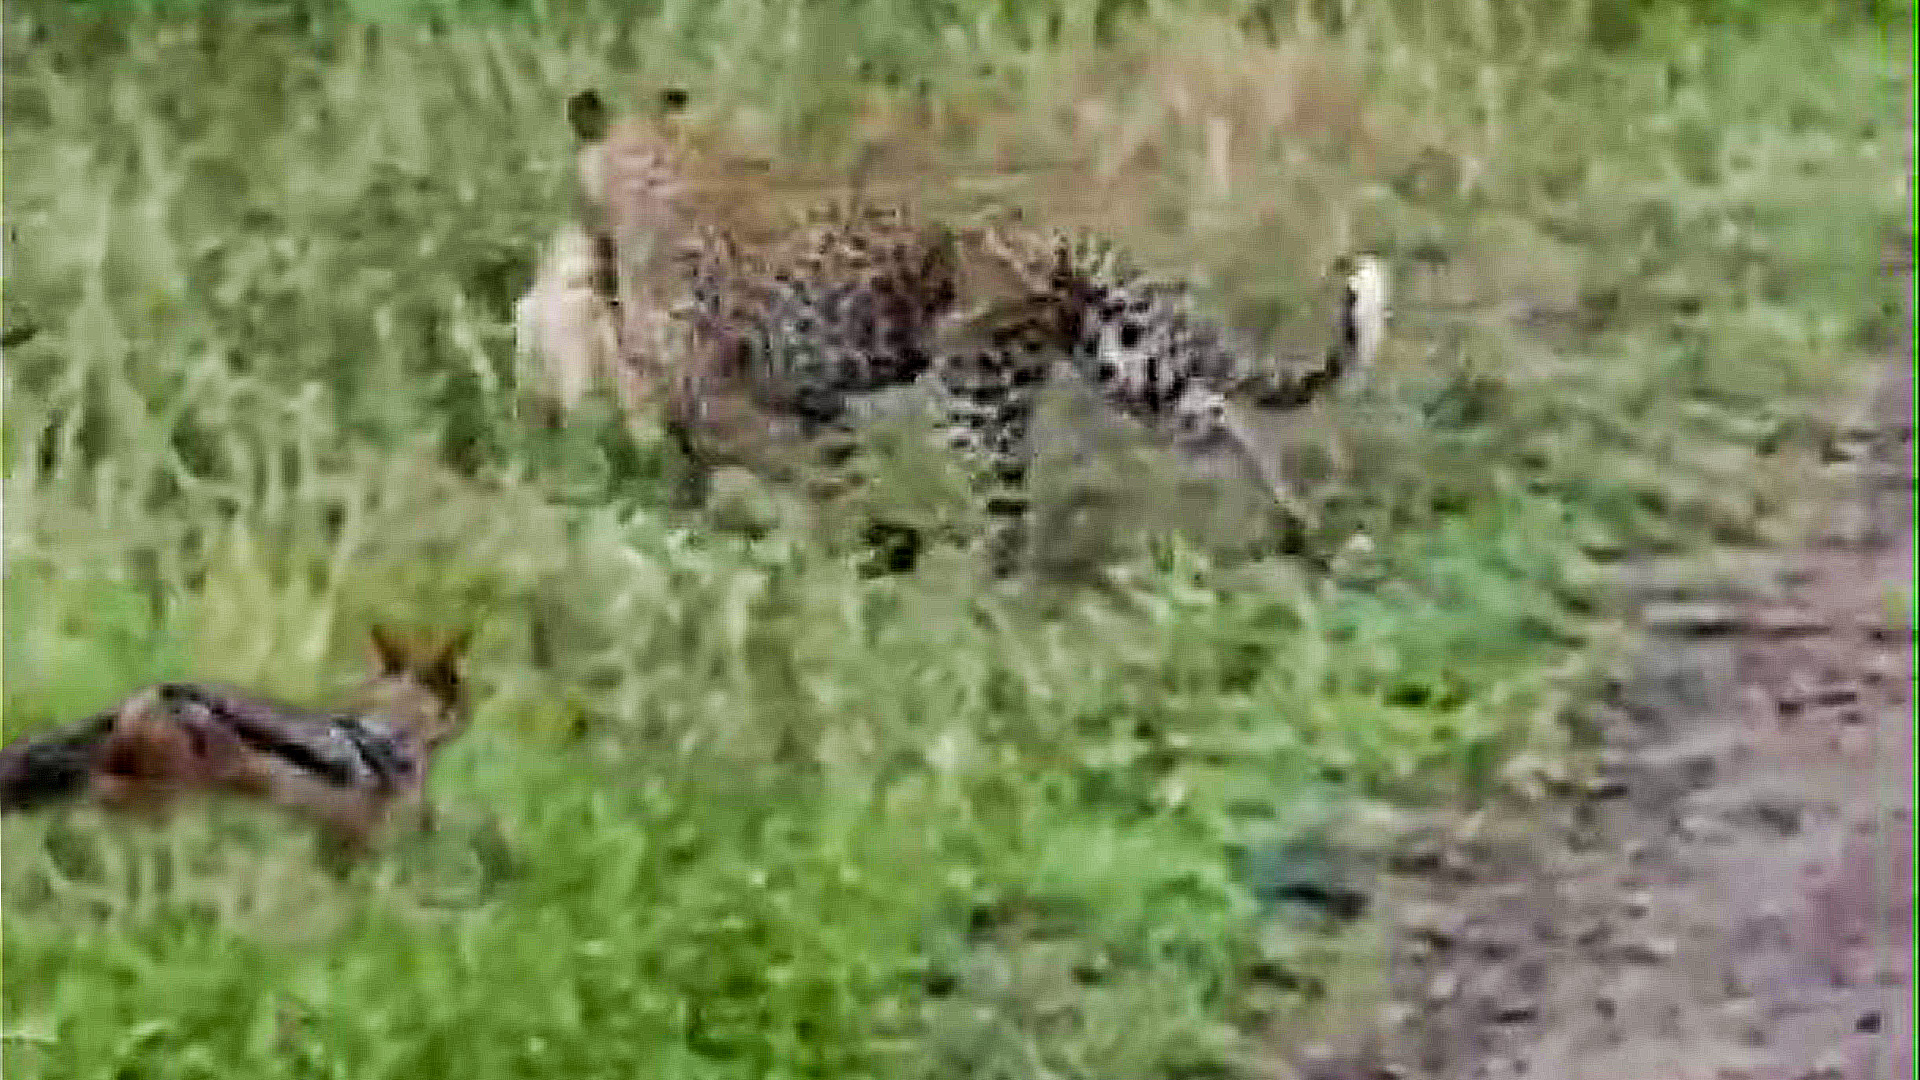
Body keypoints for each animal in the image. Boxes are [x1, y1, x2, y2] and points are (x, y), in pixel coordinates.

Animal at [516, 87, 1389, 575]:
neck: (654, 168)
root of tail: (1062, 233)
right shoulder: (815, 407)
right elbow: (829, 477)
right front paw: (853, 553)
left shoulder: (708, 397)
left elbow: (747, 470)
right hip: (1126, 359)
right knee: (1221, 414)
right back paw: (1301, 531)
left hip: (975, 390)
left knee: (1008, 518)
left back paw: (971, 602)